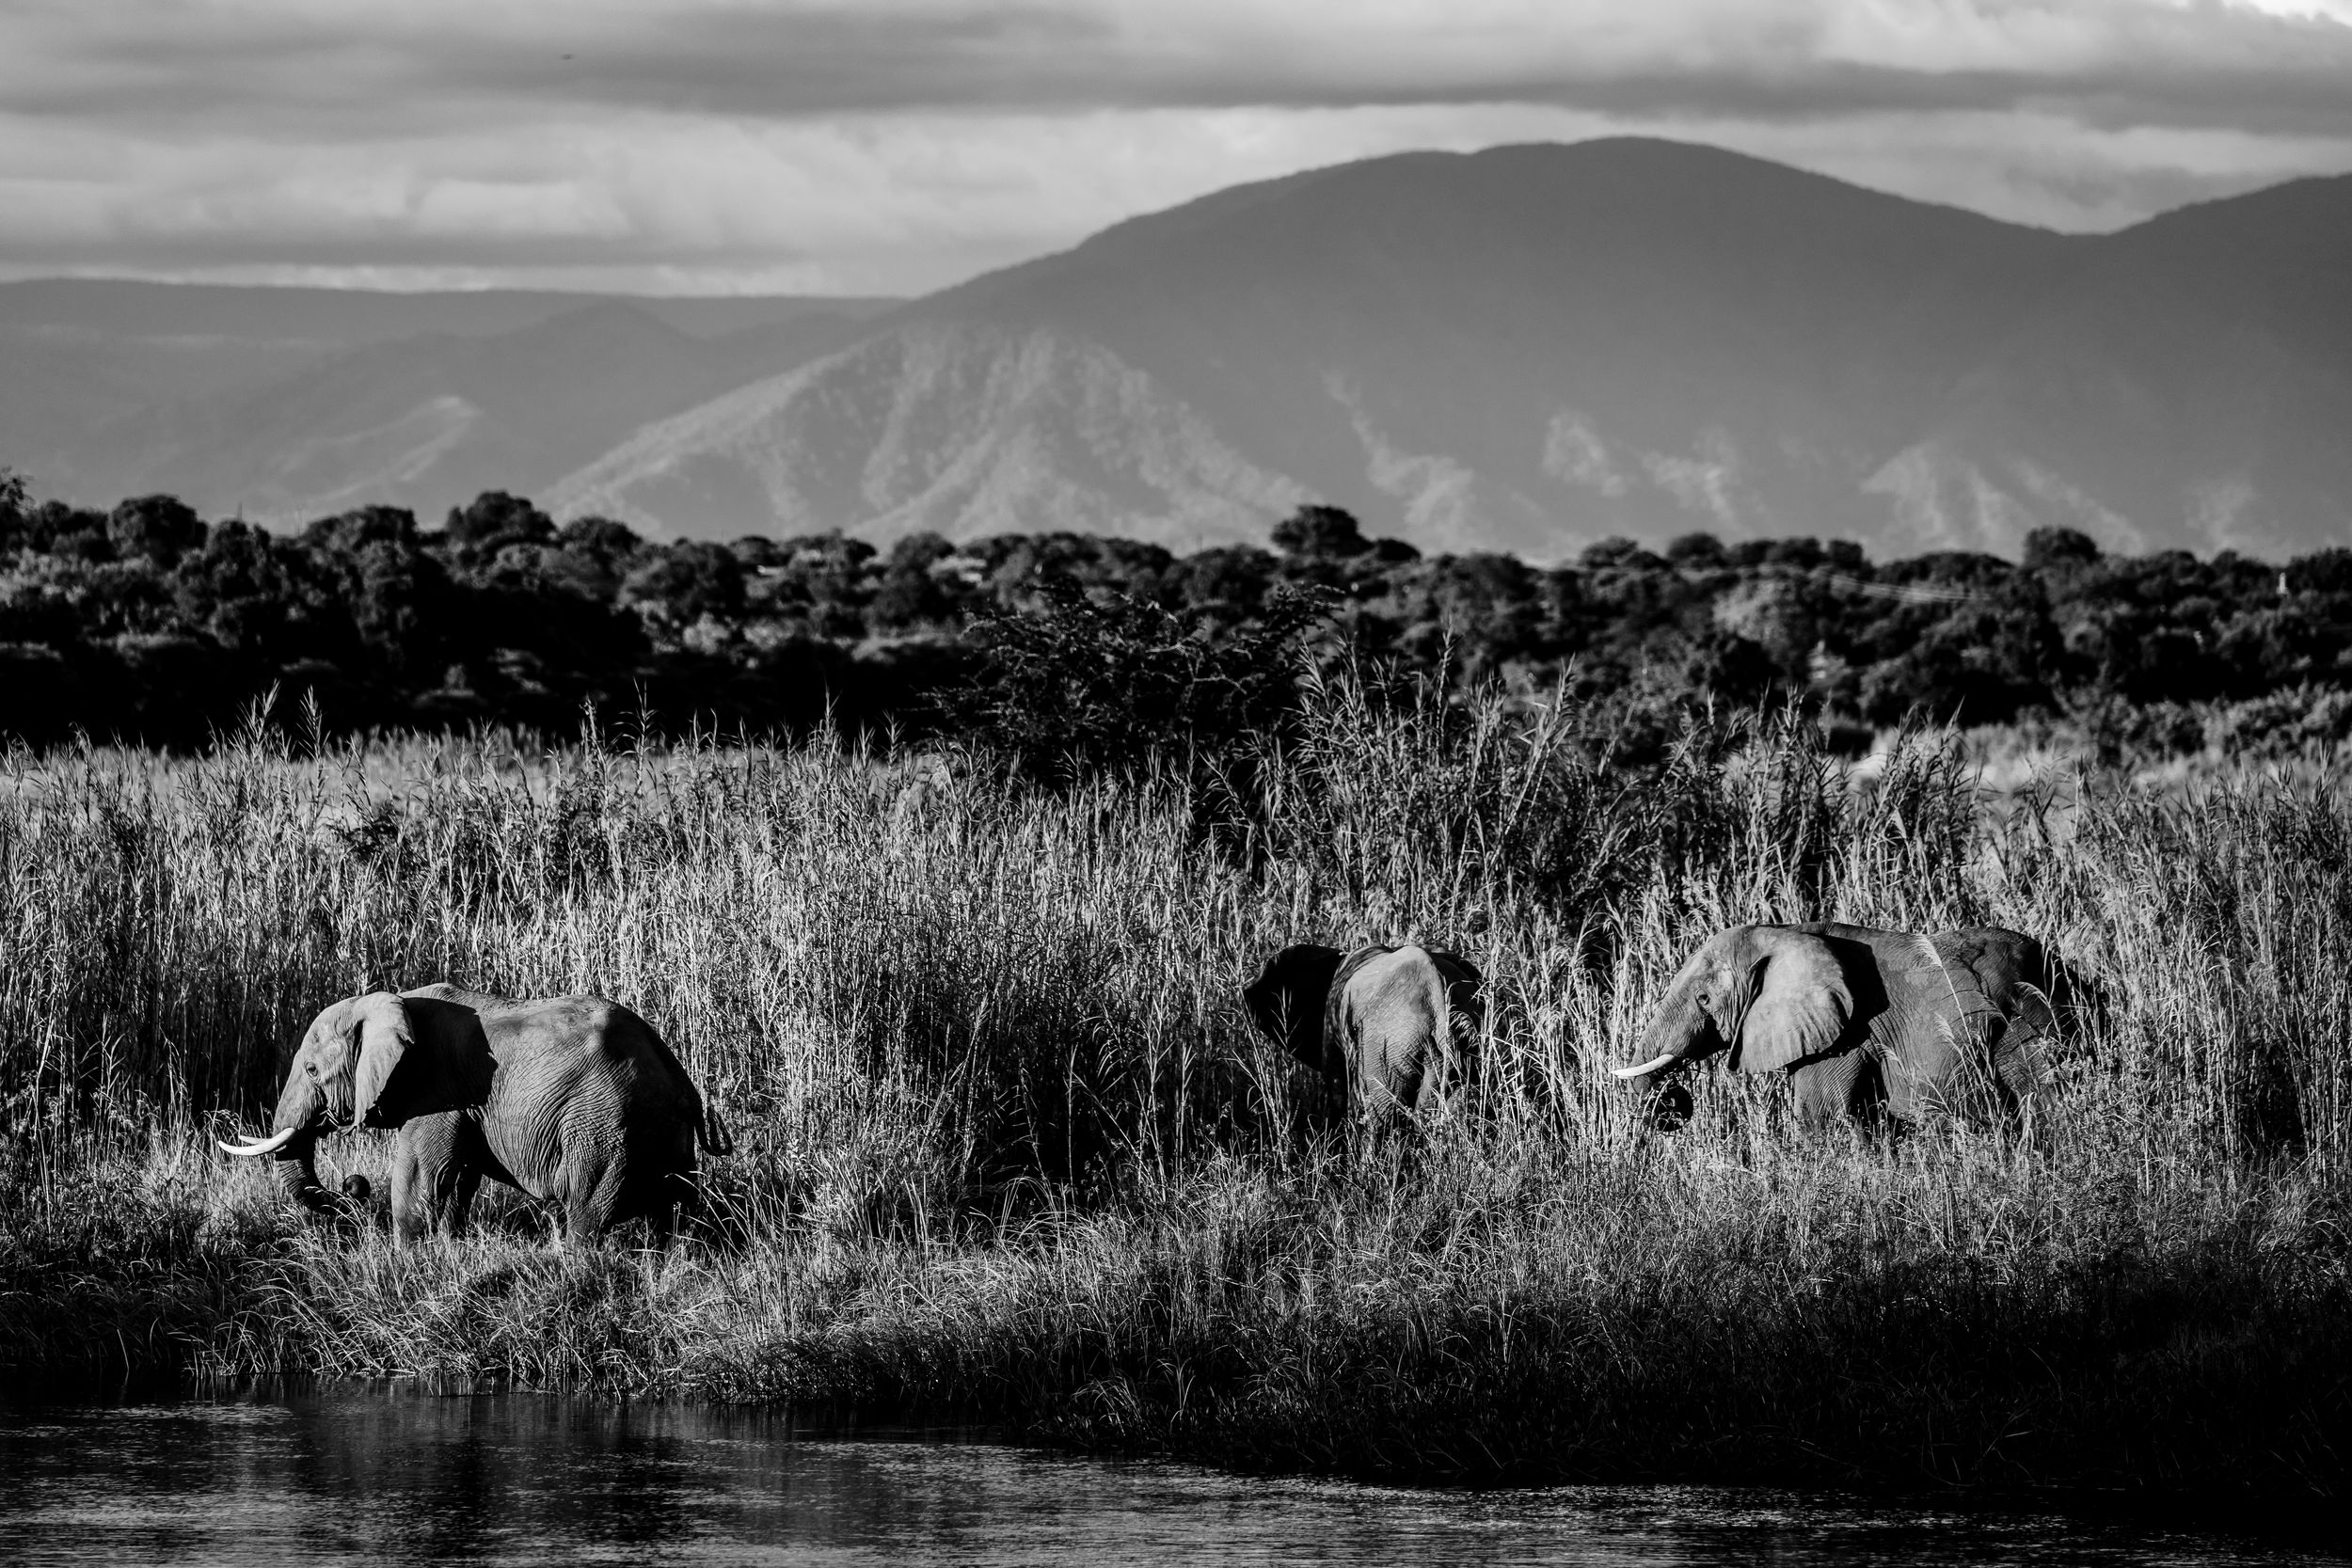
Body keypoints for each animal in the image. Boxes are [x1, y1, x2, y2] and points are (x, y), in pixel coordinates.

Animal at [217, 982, 729, 1245]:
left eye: (311, 1070)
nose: (353, 1185)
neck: (389, 1001)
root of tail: (682, 1080)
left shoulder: (437, 1090)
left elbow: (419, 1172)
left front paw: (406, 1259)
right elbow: (458, 1177)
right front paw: (449, 1246)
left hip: (604, 1124)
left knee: (587, 1211)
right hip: (663, 1134)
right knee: (673, 1214)